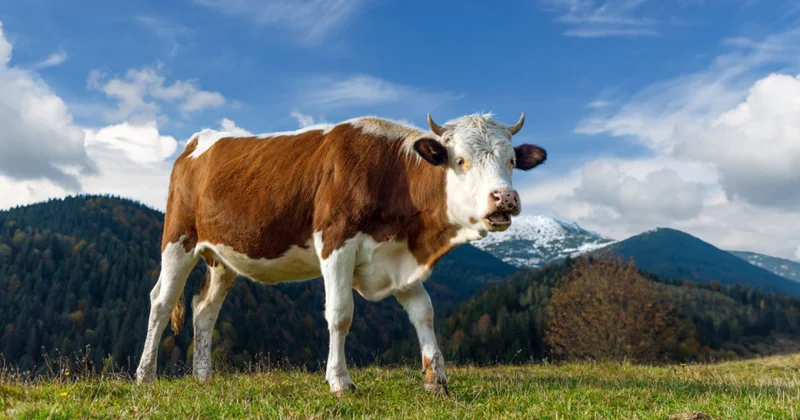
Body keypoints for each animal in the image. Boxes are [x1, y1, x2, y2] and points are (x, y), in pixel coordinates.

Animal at [134, 112, 547, 395]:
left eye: (511, 161)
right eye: (460, 160)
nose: (505, 198)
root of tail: (199, 141)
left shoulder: (398, 257)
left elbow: (424, 312)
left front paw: (436, 379)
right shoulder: (335, 242)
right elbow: (340, 314)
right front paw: (339, 381)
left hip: (222, 256)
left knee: (205, 308)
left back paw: (203, 377)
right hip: (179, 237)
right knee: (161, 301)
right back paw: (145, 375)